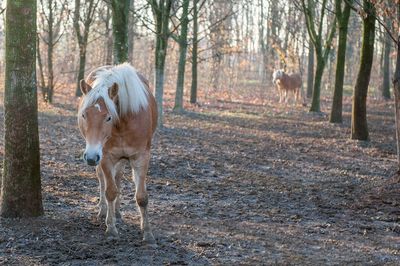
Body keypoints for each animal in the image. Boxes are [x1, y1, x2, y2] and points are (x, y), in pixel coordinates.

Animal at [76, 62, 158, 243]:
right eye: (84, 115)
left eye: (108, 117)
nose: (90, 157)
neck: (123, 122)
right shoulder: (105, 157)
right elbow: (110, 191)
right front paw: (111, 228)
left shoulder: (141, 157)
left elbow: (141, 197)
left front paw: (148, 233)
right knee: (103, 180)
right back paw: (103, 211)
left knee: (119, 177)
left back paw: (118, 212)